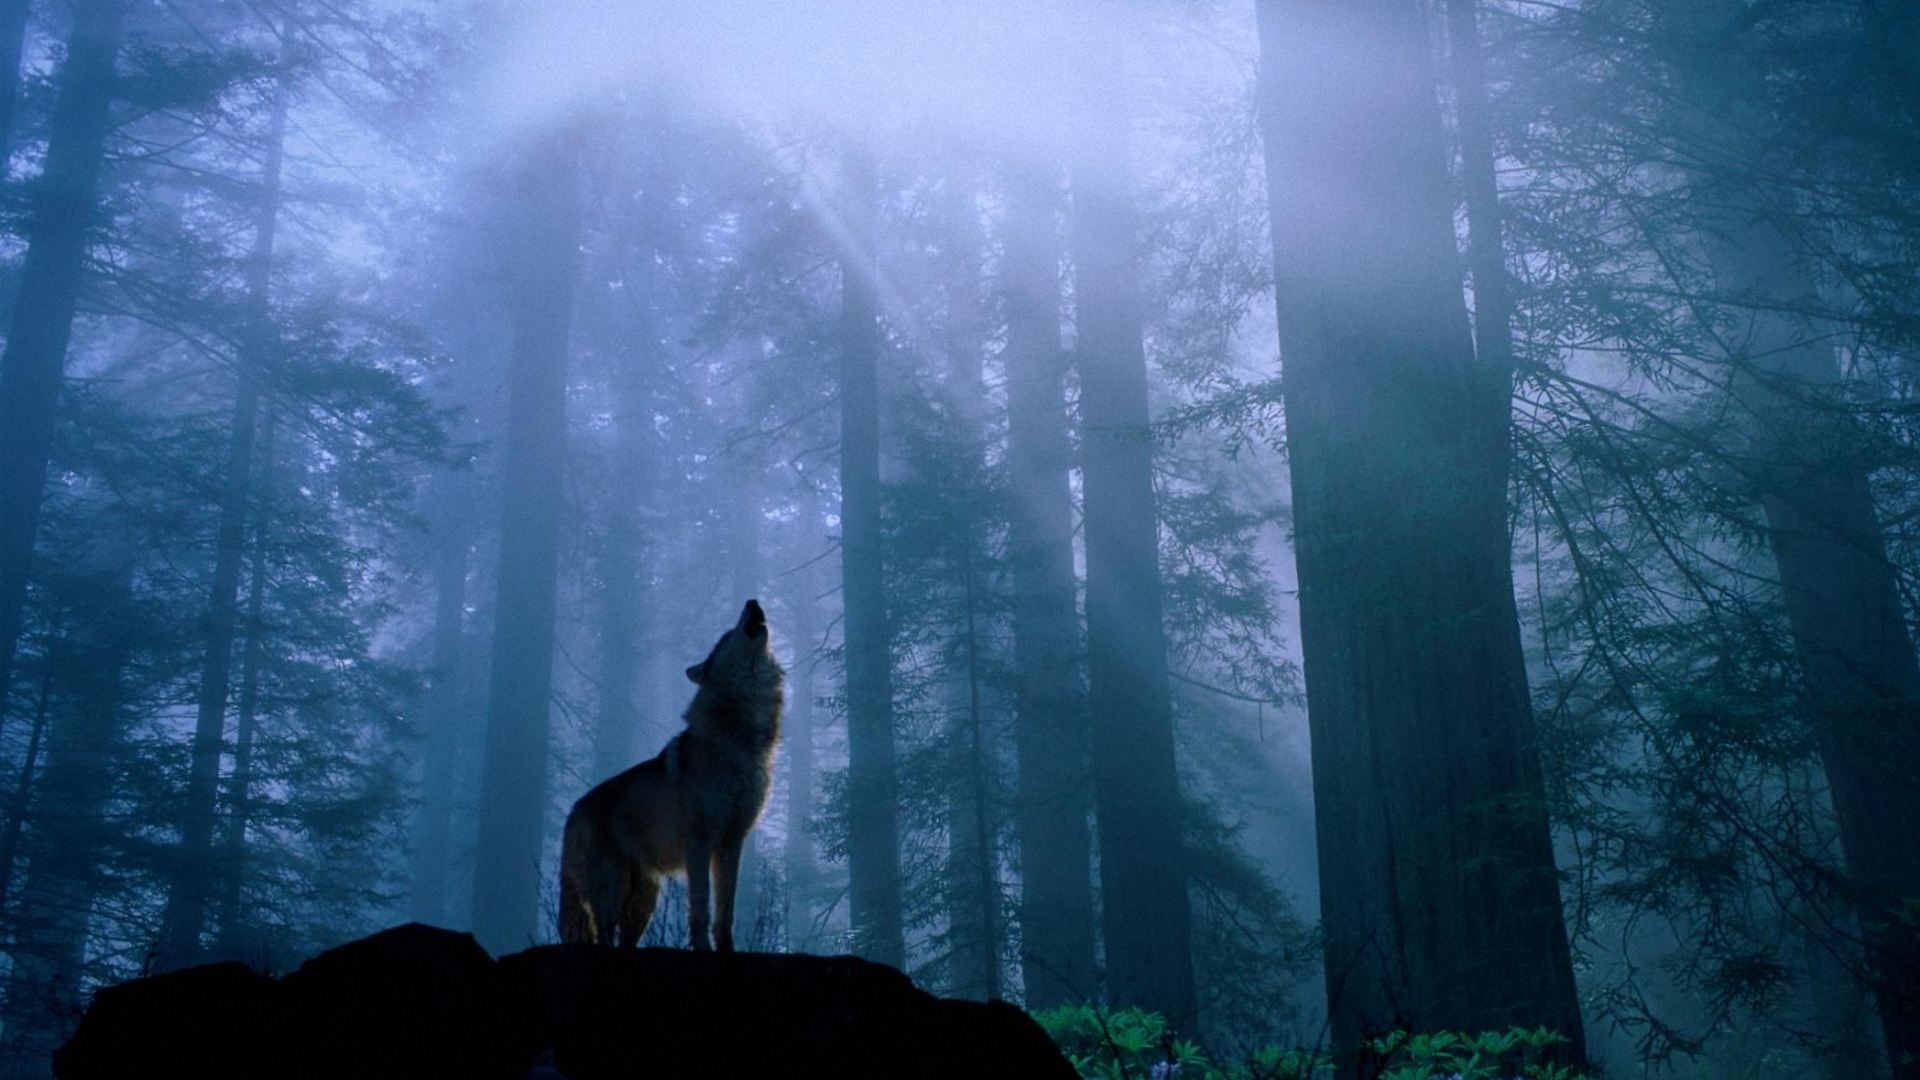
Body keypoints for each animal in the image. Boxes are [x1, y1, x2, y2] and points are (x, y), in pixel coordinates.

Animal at [558, 599, 784, 952]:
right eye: (727, 635)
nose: (753, 601)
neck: (740, 741)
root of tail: (573, 811)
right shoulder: (699, 843)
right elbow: (701, 908)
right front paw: (703, 949)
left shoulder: (732, 841)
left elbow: (726, 912)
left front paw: (727, 951)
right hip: (609, 893)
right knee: (604, 936)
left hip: (643, 901)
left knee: (625, 941)